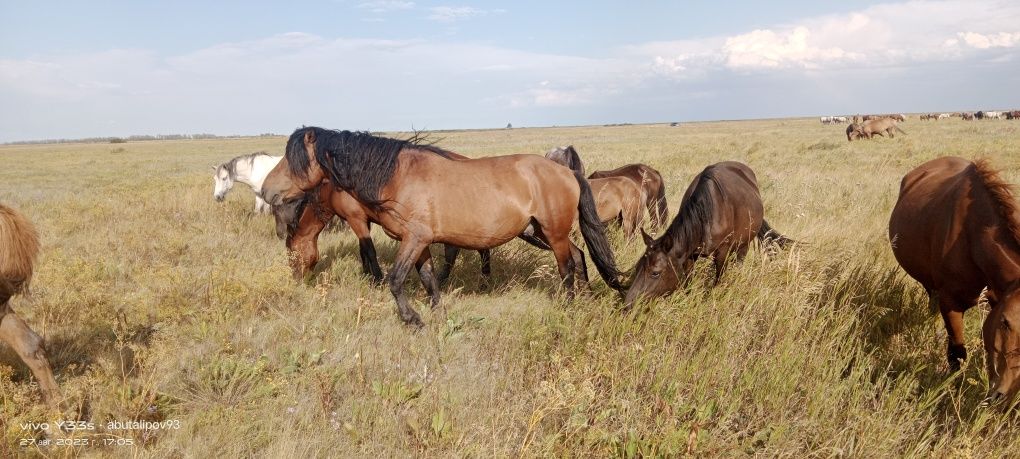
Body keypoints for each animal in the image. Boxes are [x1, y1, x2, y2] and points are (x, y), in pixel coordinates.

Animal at [271, 181, 497, 289]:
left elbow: (369, 250)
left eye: (292, 254)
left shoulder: (356, 219)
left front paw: (377, 279)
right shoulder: (365, 221)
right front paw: (367, 275)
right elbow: (363, 250)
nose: (297, 280)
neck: (333, 189)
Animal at [620, 161, 795, 308]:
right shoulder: (690, 254)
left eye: (655, 273)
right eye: (638, 268)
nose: (628, 304)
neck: (706, 216)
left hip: (744, 244)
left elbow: (718, 278)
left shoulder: (722, 252)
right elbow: (688, 280)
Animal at [889, 157, 1020, 405]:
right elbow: (957, 354)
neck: (972, 237)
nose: (1003, 396)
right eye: (1005, 322)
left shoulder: (995, 297)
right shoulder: (950, 303)